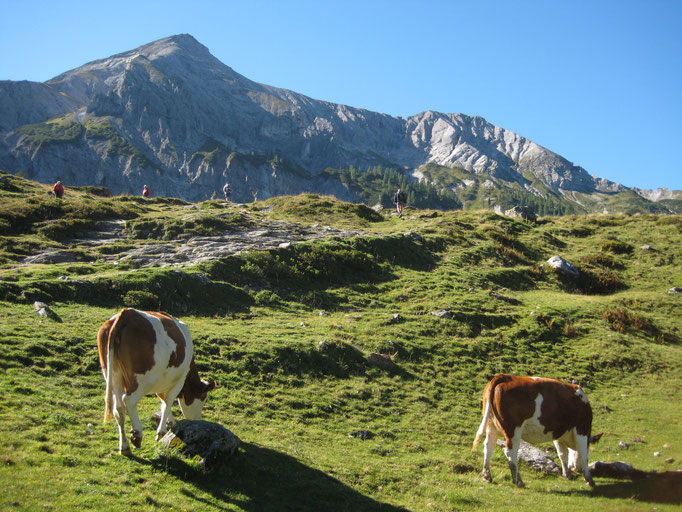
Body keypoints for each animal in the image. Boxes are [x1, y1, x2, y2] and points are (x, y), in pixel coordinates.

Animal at [95, 310, 215, 454]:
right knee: (129, 400)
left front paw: (170, 423)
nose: (198, 420)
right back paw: (137, 434)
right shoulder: (179, 381)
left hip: (113, 375)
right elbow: (168, 402)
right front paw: (161, 432)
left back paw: (124, 446)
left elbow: (163, 403)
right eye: (203, 399)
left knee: (118, 408)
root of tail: (127, 313)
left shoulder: (162, 382)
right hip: (144, 379)